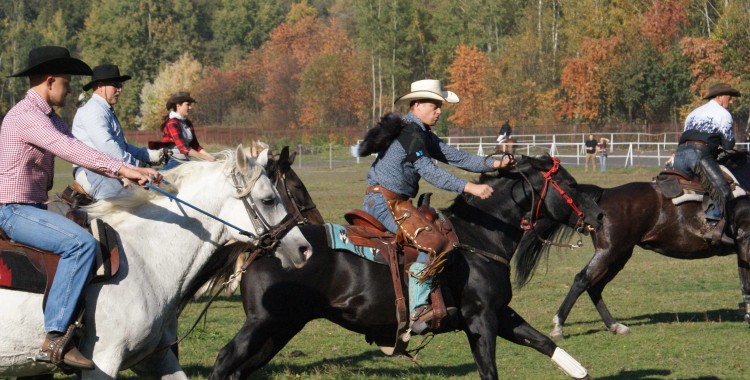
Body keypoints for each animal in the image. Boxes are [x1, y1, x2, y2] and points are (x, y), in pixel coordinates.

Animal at [210, 155, 604, 380]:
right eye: (569, 184)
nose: (599, 215)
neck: (477, 238)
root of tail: (264, 244)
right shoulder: (481, 319)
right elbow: (489, 369)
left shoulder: (499, 312)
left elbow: (539, 340)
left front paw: (580, 369)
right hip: (263, 322)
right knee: (225, 359)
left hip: (280, 328)